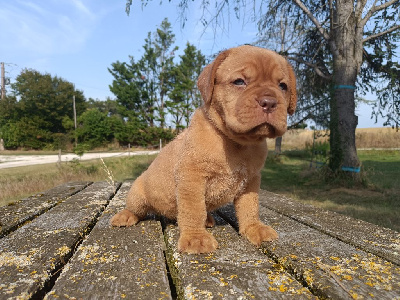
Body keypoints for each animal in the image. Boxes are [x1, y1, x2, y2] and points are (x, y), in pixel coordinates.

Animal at [110, 45, 296, 254]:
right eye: (239, 82)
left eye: (283, 86)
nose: (269, 102)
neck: (236, 143)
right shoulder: (192, 177)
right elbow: (193, 210)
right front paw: (195, 237)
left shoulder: (251, 181)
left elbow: (250, 207)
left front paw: (253, 228)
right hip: (138, 195)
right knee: (136, 209)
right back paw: (125, 216)